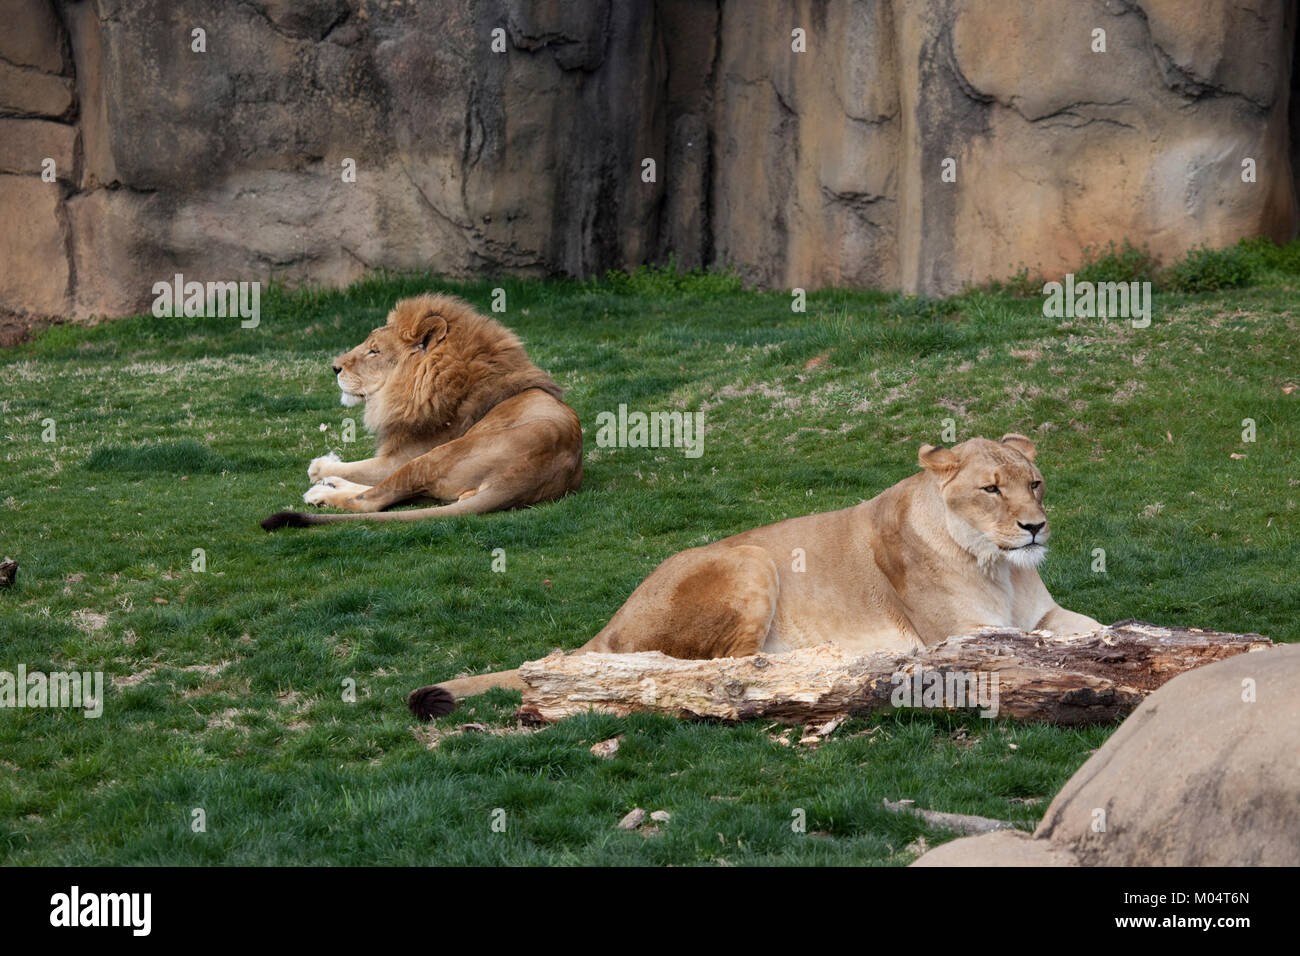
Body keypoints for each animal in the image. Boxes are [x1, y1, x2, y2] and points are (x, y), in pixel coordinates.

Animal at [261, 293, 583, 529]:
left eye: (374, 351)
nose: (334, 367)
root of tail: (520, 479)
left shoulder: (402, 456)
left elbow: (359, 468)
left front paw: (321, 467)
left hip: (431, 458)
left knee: (371, 500)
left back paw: (321, 491)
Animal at [408, 433, 1101, 717]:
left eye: (1035, 483)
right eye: (991, 489)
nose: (1036, 527)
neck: (1001, 567)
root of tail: (613, 621)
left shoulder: (1039, 612)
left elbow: (1088, 627)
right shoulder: (962, 633)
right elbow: (1038, 646)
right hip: (751, 560)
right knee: (726, 669)